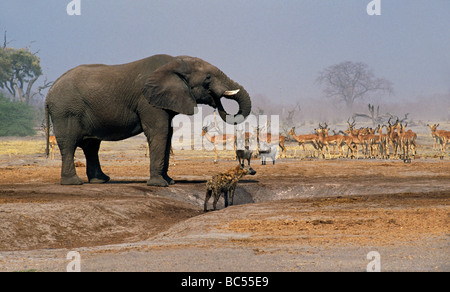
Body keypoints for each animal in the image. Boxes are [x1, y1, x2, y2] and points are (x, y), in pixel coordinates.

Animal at [45, 54, 253, 187]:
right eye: (208, 78)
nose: (216, 100)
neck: (175, 62)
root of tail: (49, 92)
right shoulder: (147, 101)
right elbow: (159, 131)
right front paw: (160, 185)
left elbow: (168, 133)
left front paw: (169, 181)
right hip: (66, 111)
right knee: (69, 144)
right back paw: (74, 183)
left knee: (91, 146)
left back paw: (101, 180)